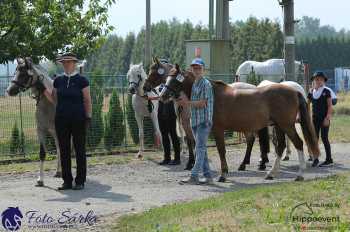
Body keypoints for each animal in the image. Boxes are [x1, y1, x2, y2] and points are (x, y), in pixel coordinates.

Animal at [6, 58, 61, 187]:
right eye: (15, 72)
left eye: (24, 74)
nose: (9, 90)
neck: (48, 103)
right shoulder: (40, 130)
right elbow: (42, 153)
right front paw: (40, 180)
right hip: (53, 132)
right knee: (59, 149)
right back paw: (58, 172)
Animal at [161, 64, 320, 182]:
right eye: (167, 77)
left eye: (175, 79)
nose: (163, 96)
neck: (213, 96)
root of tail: (294, 91)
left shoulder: (218, 130)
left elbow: (221, 150)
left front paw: (223, 175)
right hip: (279, 126)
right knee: (280, 146)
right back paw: (271, 174)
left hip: (287, 125)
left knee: (298, 143)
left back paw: (300, 174)